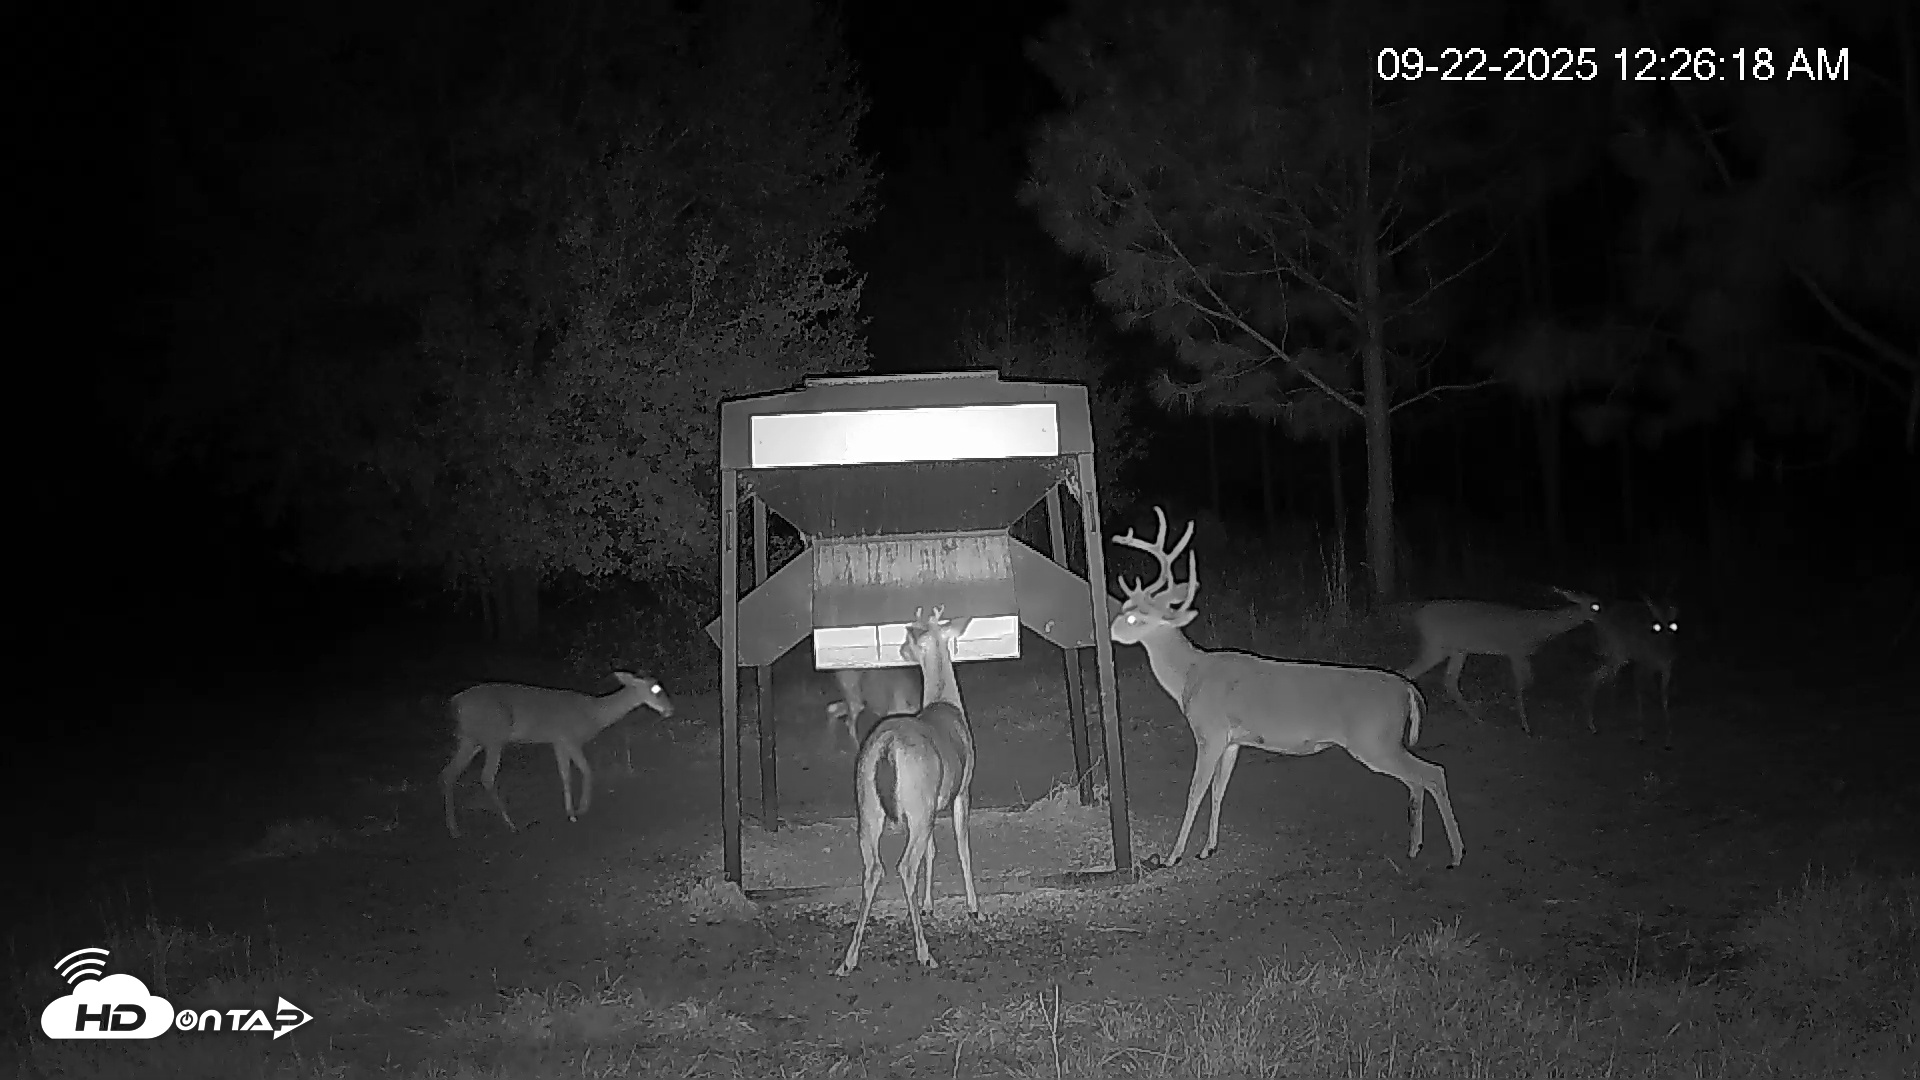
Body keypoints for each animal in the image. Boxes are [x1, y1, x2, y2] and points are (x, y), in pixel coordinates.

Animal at [440, 671, 675, 838]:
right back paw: (512, 825)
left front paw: (570, 813)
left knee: (448, 773)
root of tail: (455, 702)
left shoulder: (558, 741)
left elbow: (565, 775)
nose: (670, 710)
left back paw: (454, 829)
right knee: (486, 776)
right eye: (655, 690)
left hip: (470, 739)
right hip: (493, 737)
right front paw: (582, 808)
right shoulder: (570, 738)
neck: (594, 714)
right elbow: (587, 771)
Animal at [833, 606, 980, 976]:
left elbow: (933, 850)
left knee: (873, 868)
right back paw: (925, 953)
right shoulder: (962, 789)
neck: (946, 704)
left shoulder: (930, 806)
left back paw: (849, 958)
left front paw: (928, 906)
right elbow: (961, 846)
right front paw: (974, 907)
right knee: (905, 866)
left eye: (909, 635)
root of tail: (886, 746)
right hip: (916, 802)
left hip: (870, 806)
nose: (900, 650)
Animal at [1110, 508, 1465, 869]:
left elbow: (1195, 791)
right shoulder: (1232, 740)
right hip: (1383, 742)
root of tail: (1407, 689)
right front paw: (1208, 847)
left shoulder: (1209, 731)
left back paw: (1456, 854)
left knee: (1433, 773)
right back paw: (1415, 847)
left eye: (1134, 618)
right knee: (1418, 780)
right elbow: (1219, 790)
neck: (1190, 675)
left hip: (1375, 740)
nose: (1111, 629)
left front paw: (1173, 855)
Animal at [1398, 587, 1604, 735]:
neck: (1539, 628)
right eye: (1595, 606)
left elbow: (1529, 680)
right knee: (1409, 673)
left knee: (1449, 681)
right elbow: (1519, 684)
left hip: (1457, 649)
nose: (1603, 618)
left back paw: (1479, 720)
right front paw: (1526, 727)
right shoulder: (1515, 651)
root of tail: (1417, 616)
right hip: (1436, 646)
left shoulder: (1523, 655)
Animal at [1585, 596, 1681, 747]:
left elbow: (1663, 697)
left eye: (1672, 625)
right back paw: (1600, 722)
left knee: (1600, 677)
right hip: (1616, 653)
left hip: (1618, 657)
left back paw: (1598, 724)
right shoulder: (1642, 665)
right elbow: (1640, 693)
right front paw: (1640, 735)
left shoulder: (1666, 669)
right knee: (1599, 677)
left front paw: (1668, 740)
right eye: (1656, 624)